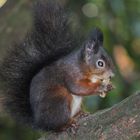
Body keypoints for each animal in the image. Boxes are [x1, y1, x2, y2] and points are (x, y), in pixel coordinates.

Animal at [0, 0, 114, 131]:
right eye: (100, 63)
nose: (112, 75)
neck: (81, 65)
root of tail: (40, 122)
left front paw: (108, 85)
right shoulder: (71, 73)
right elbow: (77, 87)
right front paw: (101, 86)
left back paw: (80, 114)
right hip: (60, 101)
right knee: (56, 125)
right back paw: (67, 124)